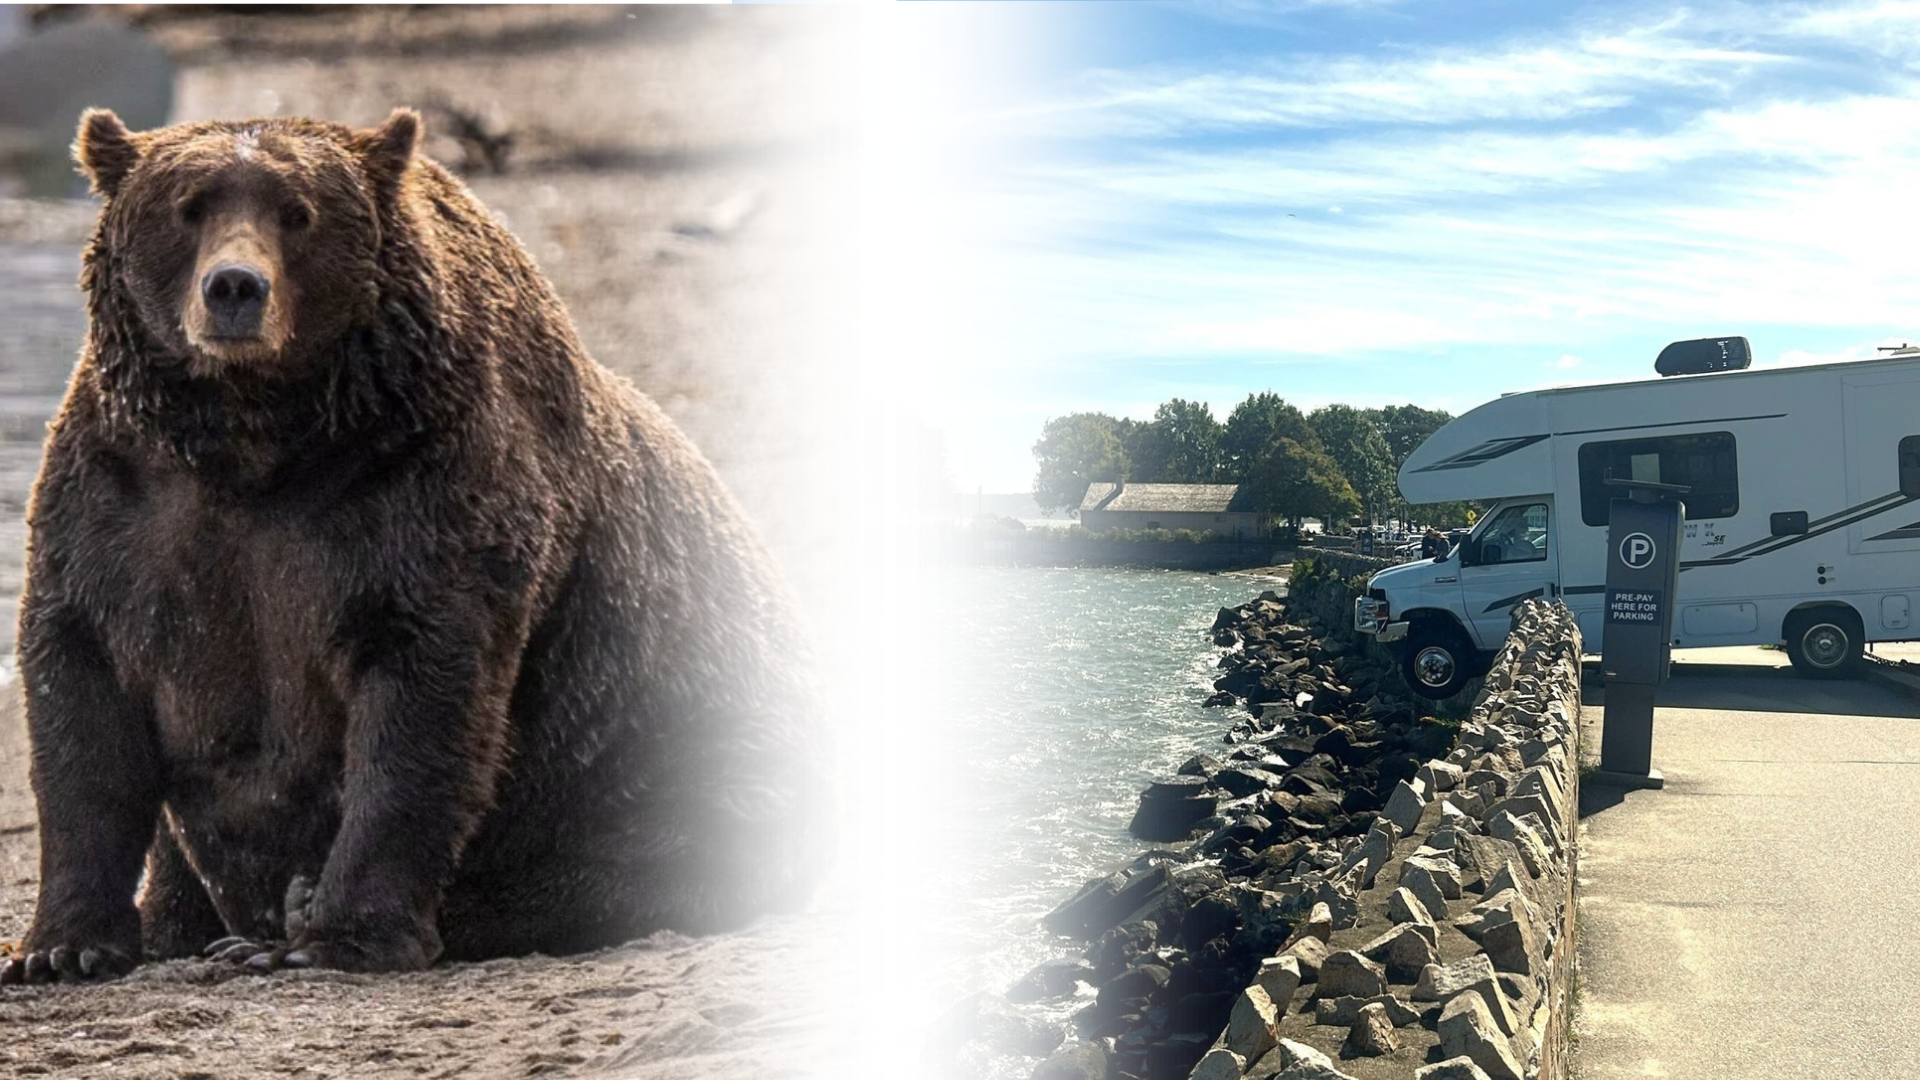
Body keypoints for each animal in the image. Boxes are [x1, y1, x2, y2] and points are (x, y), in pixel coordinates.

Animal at [0, 107, 832, 983]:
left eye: (298, 213)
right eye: (187, 207)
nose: (234, 287)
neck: (257, 440)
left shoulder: (420, 493)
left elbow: (420, 708)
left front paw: (337, 934)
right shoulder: (125, 502)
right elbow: (82, 705)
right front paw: (60, 947)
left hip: (690, 730)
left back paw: (292, 921)